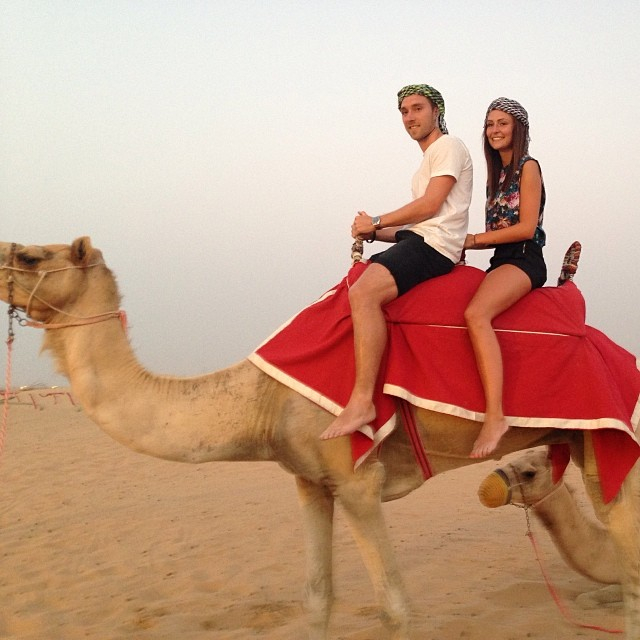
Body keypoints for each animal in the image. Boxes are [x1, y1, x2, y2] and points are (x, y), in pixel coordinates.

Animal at [0, 236, 636, 640]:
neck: (262, 397)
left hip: (611, 441)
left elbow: (395, 608)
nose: (1, 259)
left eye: (30, 255)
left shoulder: (356, 479)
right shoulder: (310, 481)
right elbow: (316, 599)